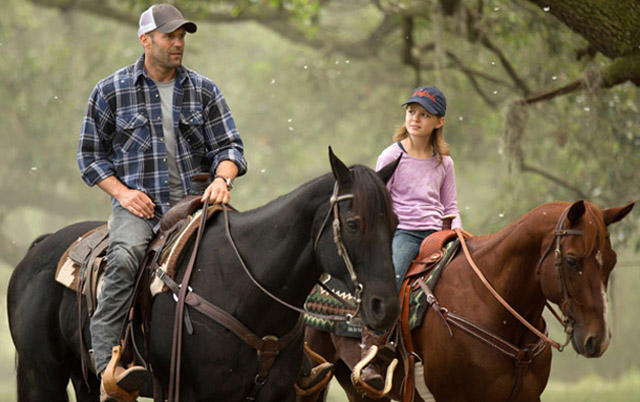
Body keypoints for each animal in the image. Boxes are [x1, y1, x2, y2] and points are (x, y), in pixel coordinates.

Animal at [6, 150, 400, 402]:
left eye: (395, 222)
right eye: (354, 223)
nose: (385, 306)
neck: (245, 289)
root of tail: (36, 249)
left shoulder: (279, 394)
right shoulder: (190, 393)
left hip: (84, 379)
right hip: (44, 375)